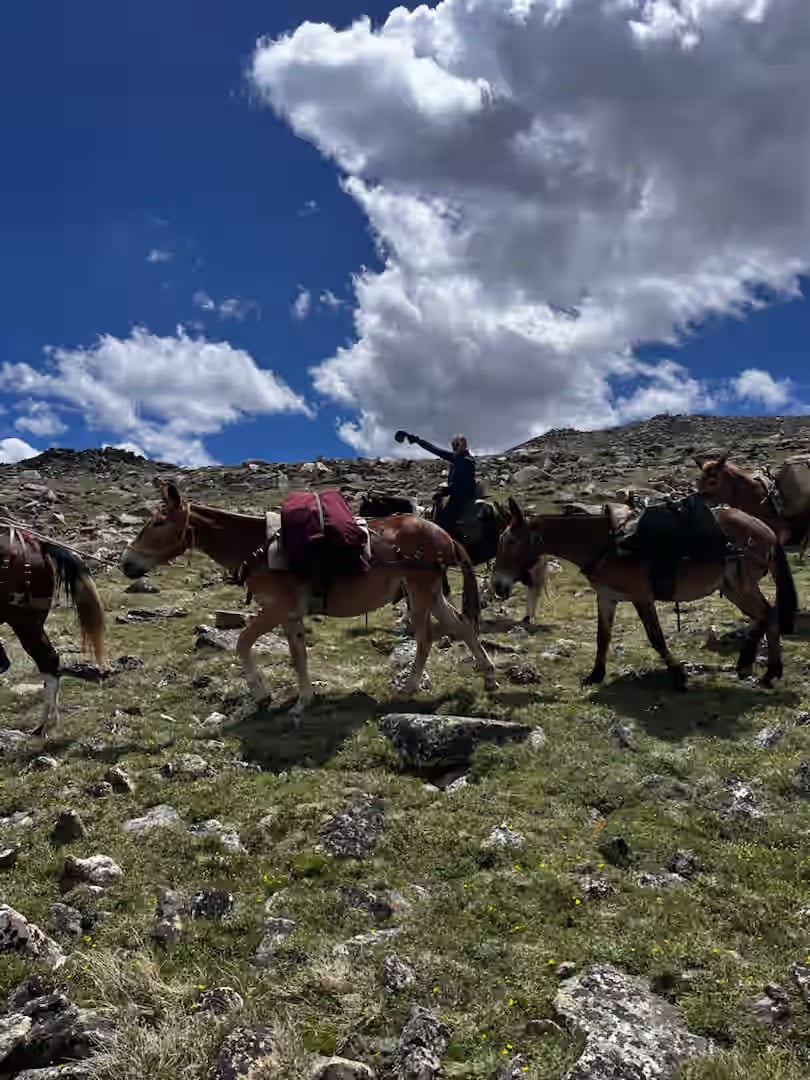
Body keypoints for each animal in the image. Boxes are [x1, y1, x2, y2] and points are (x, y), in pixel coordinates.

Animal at [120, 481, 497, 716]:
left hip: (418, 594)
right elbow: (298, 656)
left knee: (425, 638)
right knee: (462, 626)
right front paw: (303, 701)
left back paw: (408, 689)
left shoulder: (276, 609)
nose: (126, 564)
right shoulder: (290, 615)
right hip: (432, 594)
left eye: (157, 523)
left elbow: (243, 642)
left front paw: (262, 695)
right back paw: (489, 676)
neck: (258, 548)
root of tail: (444, 535)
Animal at [492, 497, 794, 690]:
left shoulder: (641, 597)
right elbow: (603, 637)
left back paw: (757, 668)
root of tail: (765, 529)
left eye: (510, 540)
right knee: (767, 615)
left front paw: (678, 675)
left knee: (767, 614)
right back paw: (762, 670)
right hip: (732, 587)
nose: (497, 585)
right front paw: (595, 675)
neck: (606, 544)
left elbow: (656, 638)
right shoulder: (607, 597)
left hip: (741, 585)